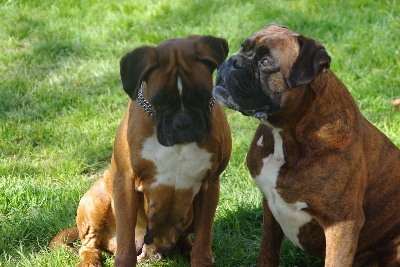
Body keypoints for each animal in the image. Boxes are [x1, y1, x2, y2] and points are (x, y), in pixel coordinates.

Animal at [50, 35, 231, 267]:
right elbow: (126, 245)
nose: (183, 123)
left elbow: (203, 240)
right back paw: (90, 261)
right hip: (96, 198)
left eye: (201, 96)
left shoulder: (210, 186)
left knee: (186, 238)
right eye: (161, 101)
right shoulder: (126, 183)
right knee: (90, 245)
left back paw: (186, 248)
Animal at [212, 24, 400, 266]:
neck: (286, 136)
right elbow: (268, 252)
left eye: (266, 62)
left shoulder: (342, 224)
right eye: (243, 48)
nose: (233, 61)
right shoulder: (269, 207)